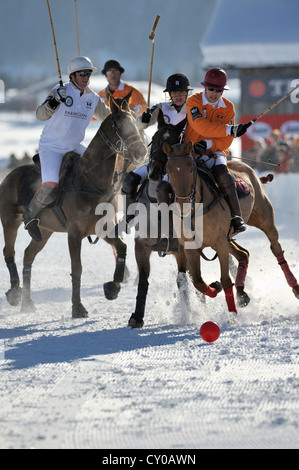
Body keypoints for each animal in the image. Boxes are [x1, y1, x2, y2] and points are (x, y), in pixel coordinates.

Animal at [0, 93, 148, 318]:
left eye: (136, 122)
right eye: (119, 125)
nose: (142, 152)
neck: (92, 181)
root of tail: (10, 174)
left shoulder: (103, 229)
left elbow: (122, 247)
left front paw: (112, 288)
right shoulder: (74, 233)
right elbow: (77, 268)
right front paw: (78, 307)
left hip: (45, 231)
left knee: (28, 255)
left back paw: (27, 302)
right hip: (10, 221)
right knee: (9, 252)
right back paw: (15, 293)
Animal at [164, 140, 299, 324]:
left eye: (191, 168)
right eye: (168, 169)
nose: (183, 204)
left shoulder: (220, 242)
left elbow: (226, 280)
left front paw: (232, 316)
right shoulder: (191, 247)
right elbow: (198, 281)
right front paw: (215, 287)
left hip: (263, 218)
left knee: (276, 248)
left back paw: (294, 287)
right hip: (228, 238)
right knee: (244, 253)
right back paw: (242, 294)